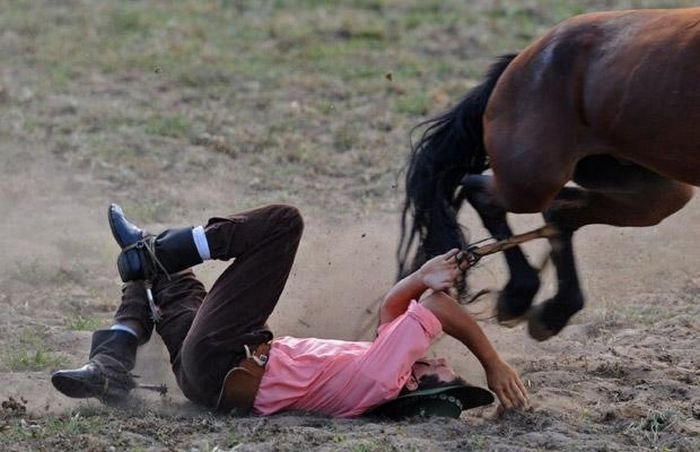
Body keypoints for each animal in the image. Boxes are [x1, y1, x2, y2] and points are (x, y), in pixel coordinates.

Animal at [400, 7, 700, 340]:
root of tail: (520, 60)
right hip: (531, 181)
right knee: (482, 193)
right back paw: (520, 296)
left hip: (652, 189)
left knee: (559, 213)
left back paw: (551, 310)